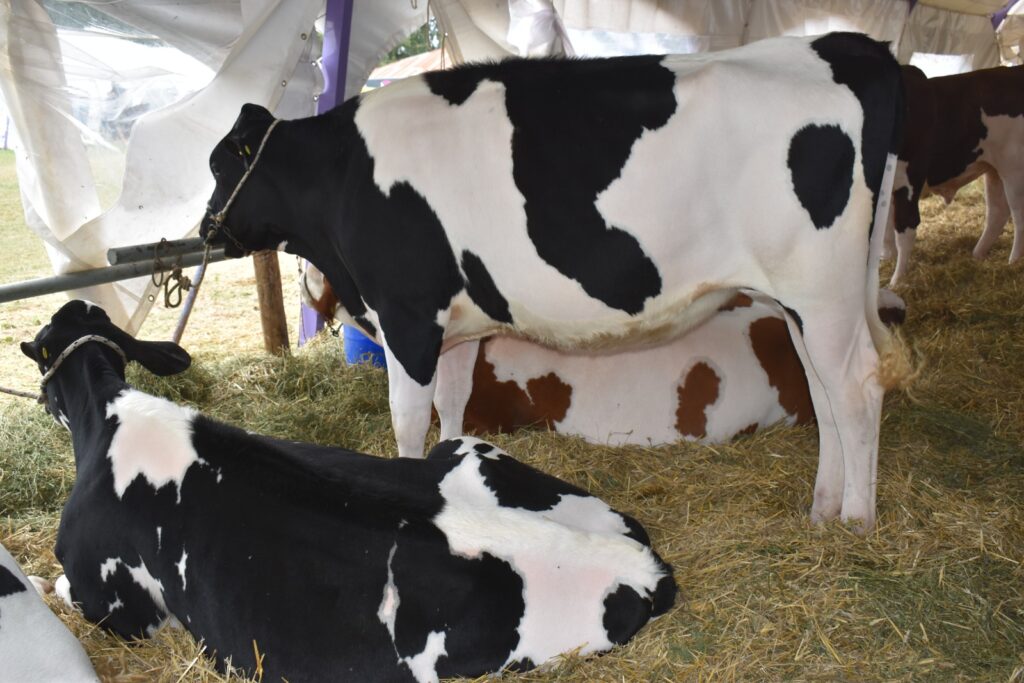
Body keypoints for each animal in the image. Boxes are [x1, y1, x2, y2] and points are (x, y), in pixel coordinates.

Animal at [886, 63, 1024, 285]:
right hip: (994, 169)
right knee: (997, 211)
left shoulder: (908, 180)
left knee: (1018, 215)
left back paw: (1014, 261)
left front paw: (897, 281)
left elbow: (904, 231)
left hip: (1014, 167)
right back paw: (978, 254)